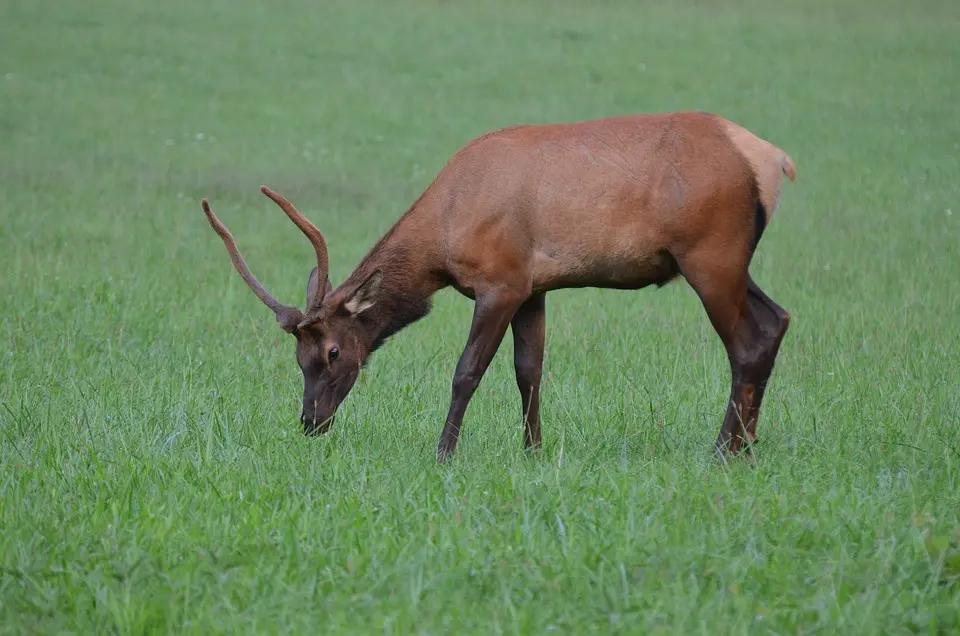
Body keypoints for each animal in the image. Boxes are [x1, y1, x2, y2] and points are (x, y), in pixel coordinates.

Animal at [201, 110, 796, 462]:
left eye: (331, 351)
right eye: (296, 357)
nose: (310, 421)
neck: (444, 233)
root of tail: (774, 159)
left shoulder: (501, 283)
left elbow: (468, 371)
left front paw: (443, 453)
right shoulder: (535, 287)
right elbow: (528, 372)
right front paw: (533, 451)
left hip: (710, 254)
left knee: (746, 343)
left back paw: (723, 450)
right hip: (729, 261)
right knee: (777, 320)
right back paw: (748, 445)